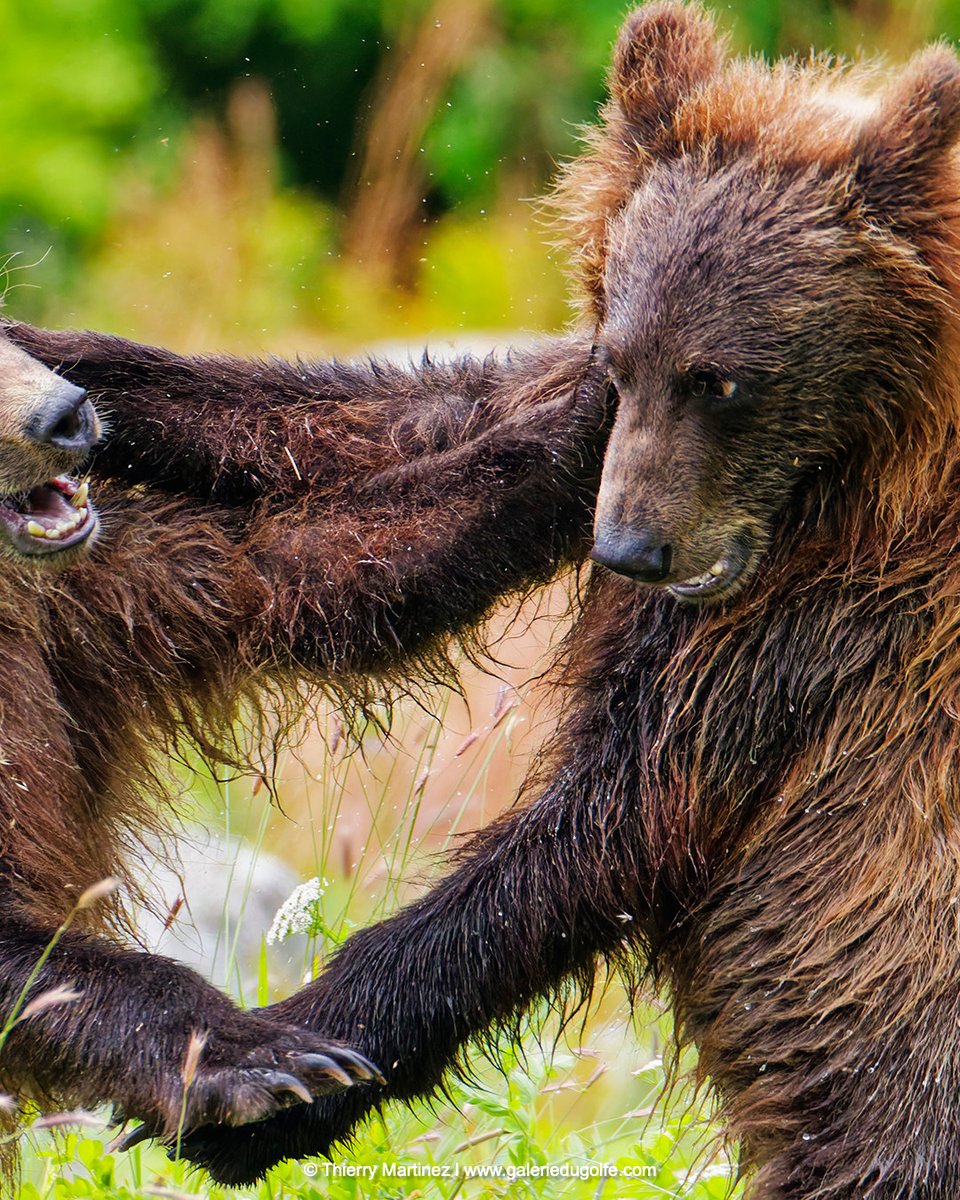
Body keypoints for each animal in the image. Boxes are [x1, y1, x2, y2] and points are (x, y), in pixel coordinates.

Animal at [121, 5, 960, 1197]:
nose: (629, 548)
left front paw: (267, 1086)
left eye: (724, 379)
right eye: (625, 354)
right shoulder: (599, 449)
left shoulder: (818, 640)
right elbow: (408, 419)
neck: (848, 481)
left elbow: (601, 827)